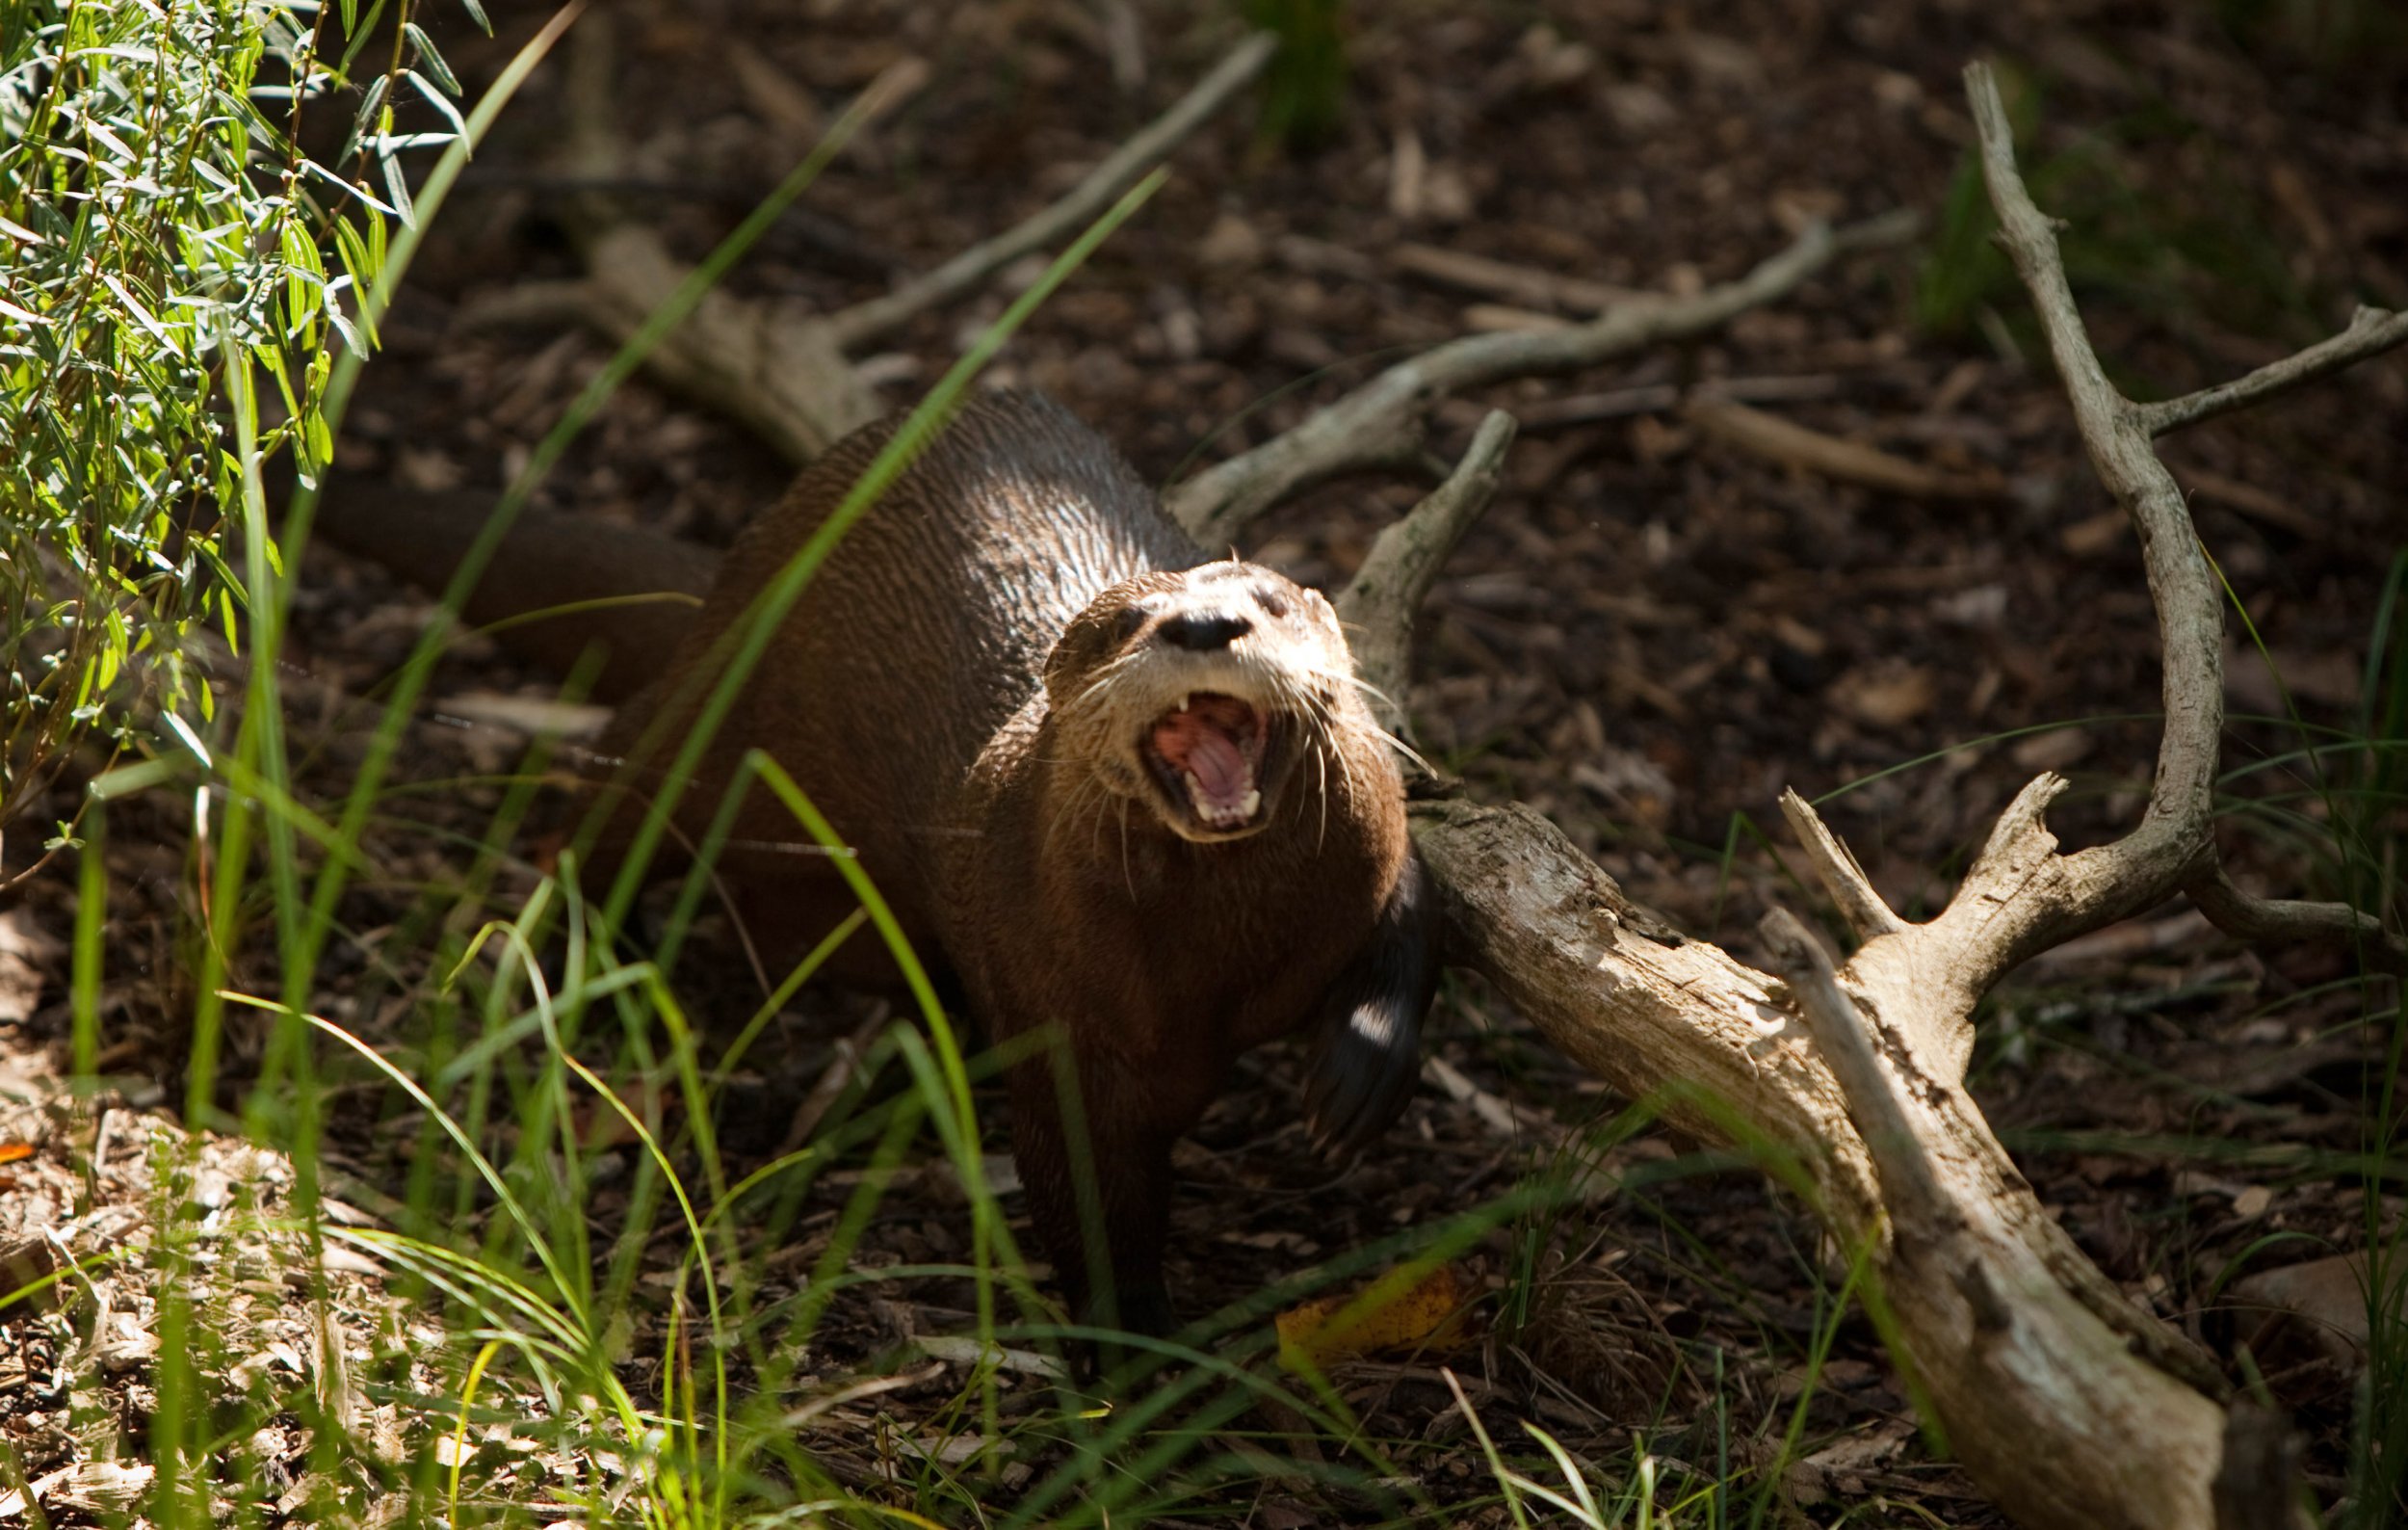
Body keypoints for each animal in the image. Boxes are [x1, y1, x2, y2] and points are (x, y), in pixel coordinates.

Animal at [319, 390, 1439, 1336]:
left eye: (1267, 601)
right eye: (1128, 622)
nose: (1204, 624)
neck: (1217, 965)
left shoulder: (1379, 853)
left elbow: (1415, 926)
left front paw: (1355, 1080)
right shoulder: (1066, 1024)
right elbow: (1086, 1197)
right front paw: (1132, 1357)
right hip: (713, 708)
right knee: (608, 804)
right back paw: (572, 951)